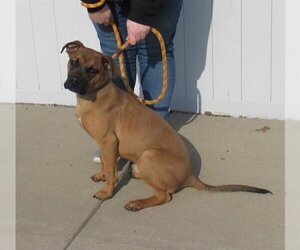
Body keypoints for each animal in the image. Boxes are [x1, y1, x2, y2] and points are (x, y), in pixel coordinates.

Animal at [61, 41, 272, 211]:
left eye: (93, 70)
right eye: (74, 62)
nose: (73, 81)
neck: (95, 93)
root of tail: (189, 175)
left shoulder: (108, 141)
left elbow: (111, 170)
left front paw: (106, 192)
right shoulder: (105, 144)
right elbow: (107, 164)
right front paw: (103, 175)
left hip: (148, 156)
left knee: (164, 196)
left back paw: (137, 203)